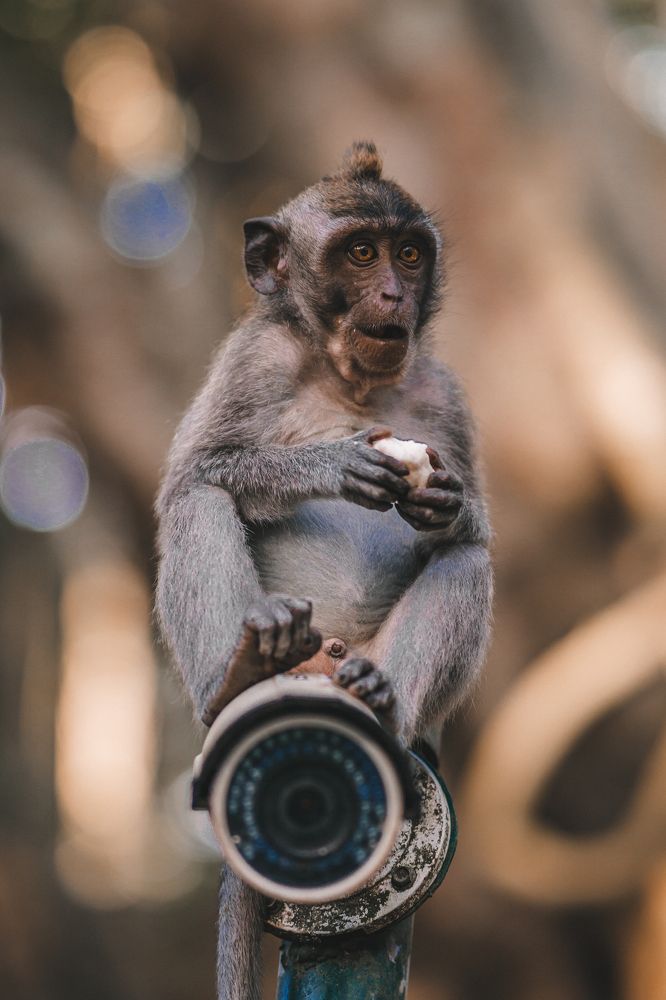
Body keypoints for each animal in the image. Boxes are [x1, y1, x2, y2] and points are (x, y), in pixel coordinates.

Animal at [155, 141, 493, 1000]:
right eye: (361, 253)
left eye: (409, 254)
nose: (392, 294)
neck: (351, 378)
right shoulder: (254, 357)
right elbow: (194, 475)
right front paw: (334, 464)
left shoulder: (446, 393)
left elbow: (470, 529)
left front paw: (445, 502)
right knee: (198, 500)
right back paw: (240, 669)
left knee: (468, 561)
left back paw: (381, 696)